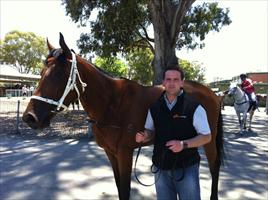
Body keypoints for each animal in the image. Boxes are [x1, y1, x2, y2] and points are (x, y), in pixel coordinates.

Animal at [23, 33, 224, 199]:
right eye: (41, 73)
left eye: (58, 75)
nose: (29, 118)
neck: (112, 104)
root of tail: (212, 93)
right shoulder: (111, 153)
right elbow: (119, 187)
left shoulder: (124, 153)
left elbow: (126, 189)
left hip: (209, 139)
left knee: (214, 167)